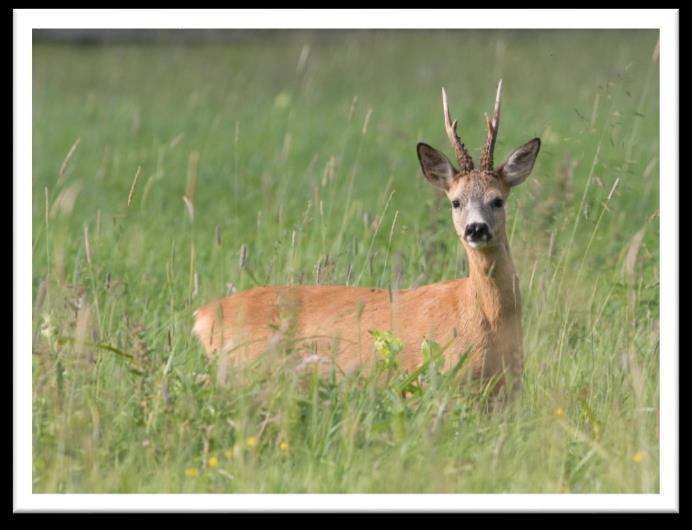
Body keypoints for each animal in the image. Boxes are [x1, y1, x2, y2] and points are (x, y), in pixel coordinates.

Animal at [193, 81, 540, 388]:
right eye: (455, 201)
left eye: (498, 200)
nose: (476, 229)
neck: (485, 318)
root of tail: (203, 314)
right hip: (245, 366)